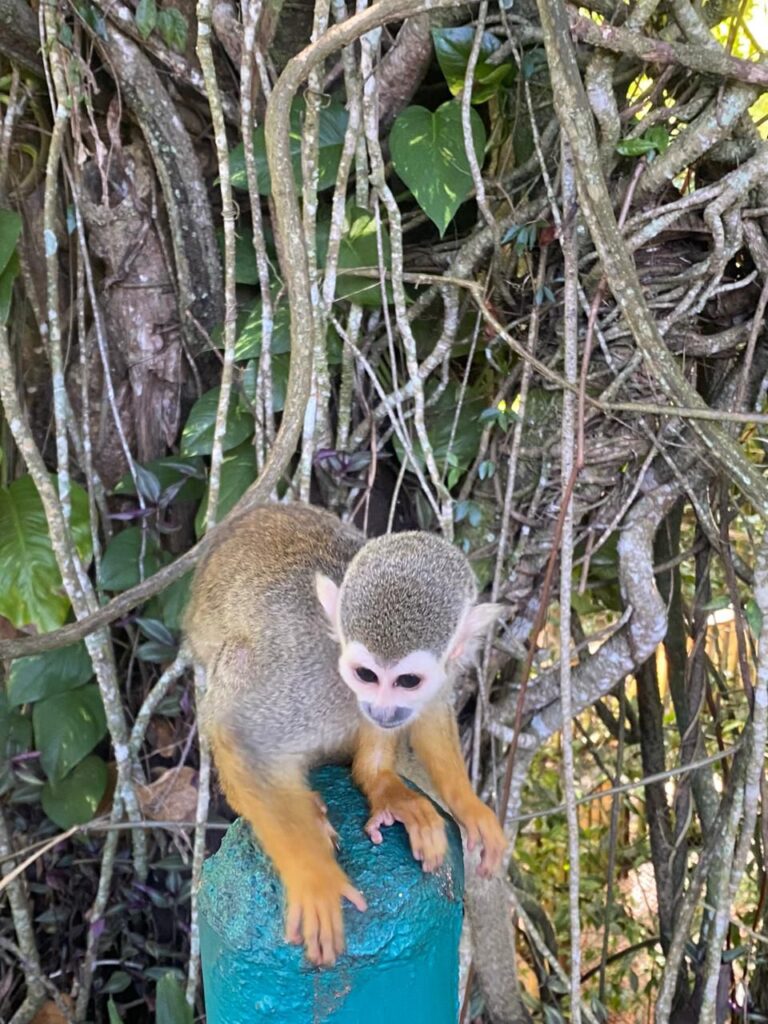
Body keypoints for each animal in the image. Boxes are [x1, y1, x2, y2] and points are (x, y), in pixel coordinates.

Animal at [184, 503, 506, 967]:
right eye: (366, 675)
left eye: (407, 681)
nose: (382, 707)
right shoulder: (305, 671)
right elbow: (240, 733)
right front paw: (314, 877)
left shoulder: (443, 671)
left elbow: (428, 711)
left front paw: (468, 805)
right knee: (238, 662)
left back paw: (381, 782)